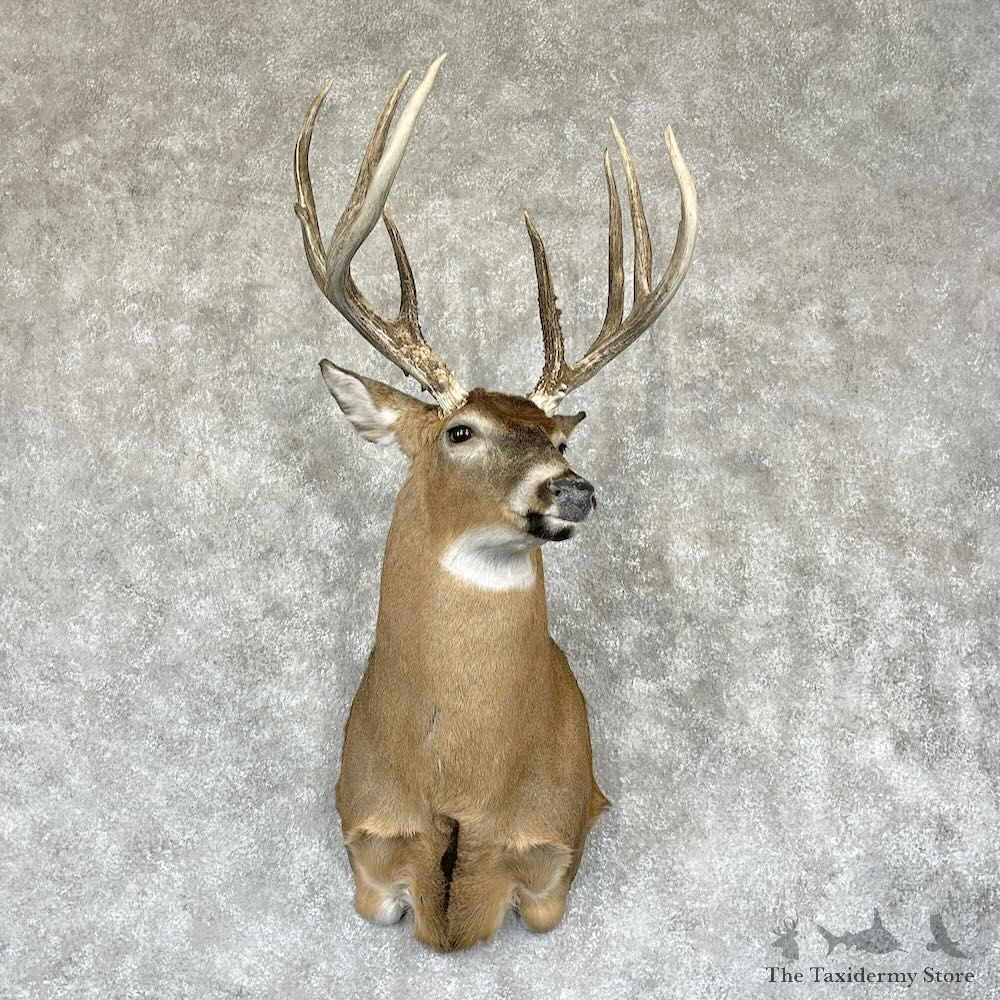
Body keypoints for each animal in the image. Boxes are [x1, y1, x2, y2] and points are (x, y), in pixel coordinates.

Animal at [294, 55, 697, 952]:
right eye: (460, 431)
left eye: (558, 439)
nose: (572, 487)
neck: (459, 782)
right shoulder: (362, 831)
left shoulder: (555, 848)